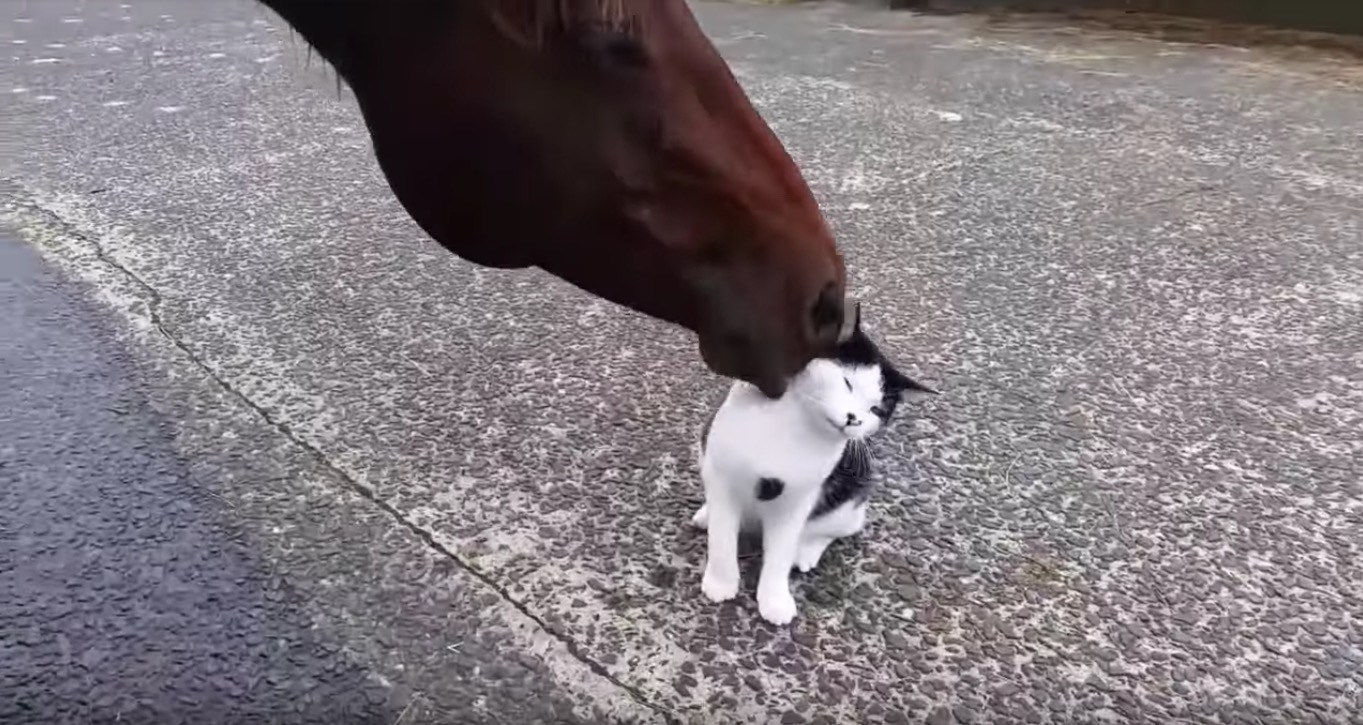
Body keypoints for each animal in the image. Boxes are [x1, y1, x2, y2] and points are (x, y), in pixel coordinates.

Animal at [692, 302, 926, 626]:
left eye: (876, 410)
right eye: (847, 382)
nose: (854, 419)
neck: (794, 426)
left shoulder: (798, 499)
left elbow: (780, 552)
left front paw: (775, 599)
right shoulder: (723, 477)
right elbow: (722, 537)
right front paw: (721, 581)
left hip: (853, 492)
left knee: (836, 527)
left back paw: (805, 551)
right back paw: (706, 514)